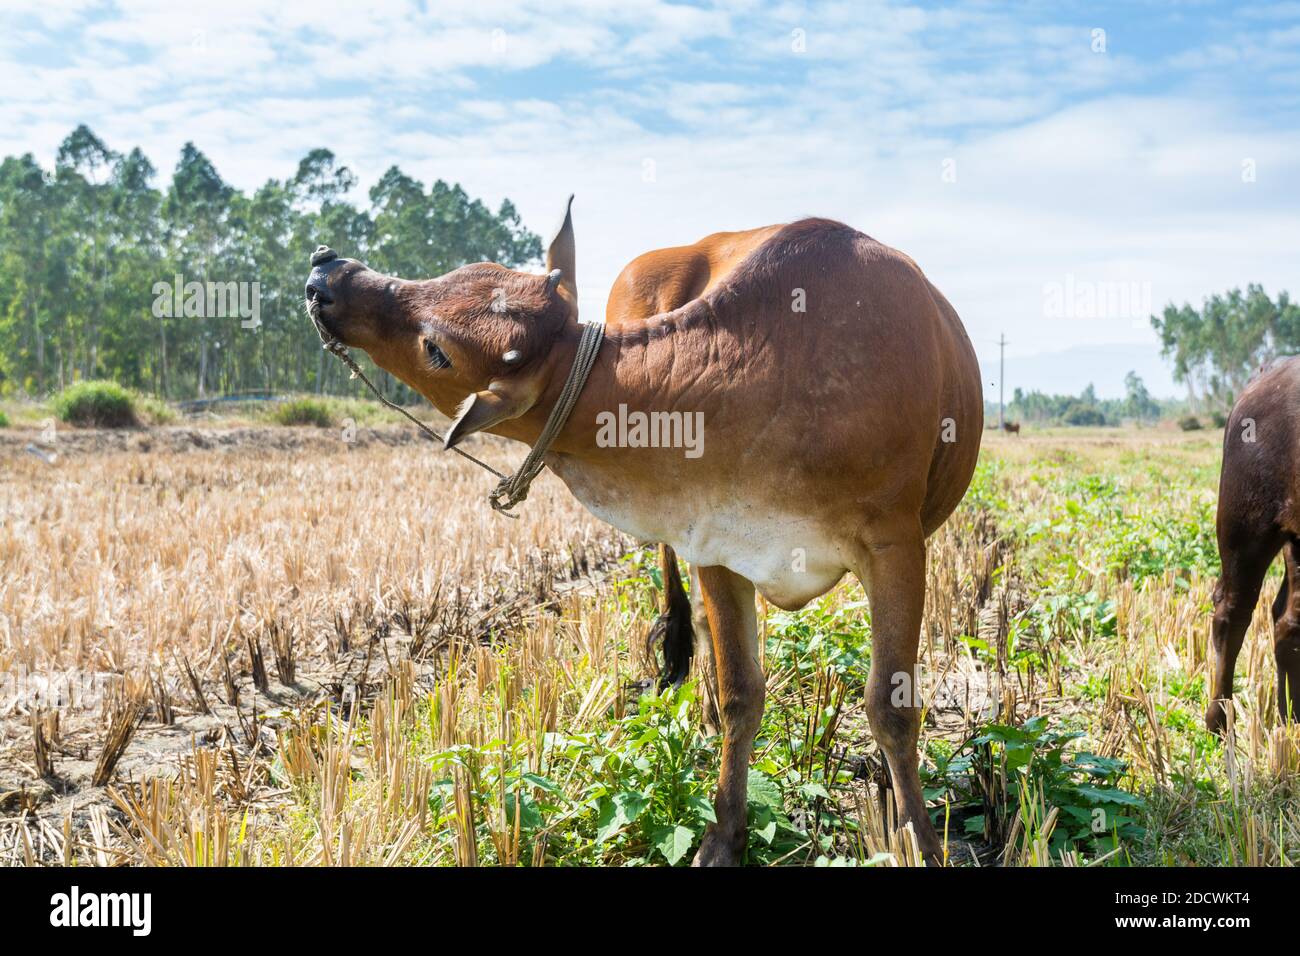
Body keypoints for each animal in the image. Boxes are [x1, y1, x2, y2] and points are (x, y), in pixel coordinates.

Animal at [304, 197, 977, 863]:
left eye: (436, 349)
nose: (327, 272)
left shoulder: (896, 545)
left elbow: (890, 706)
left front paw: (920, 838)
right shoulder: (716, 541)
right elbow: (741, 694)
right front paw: (723, 835)